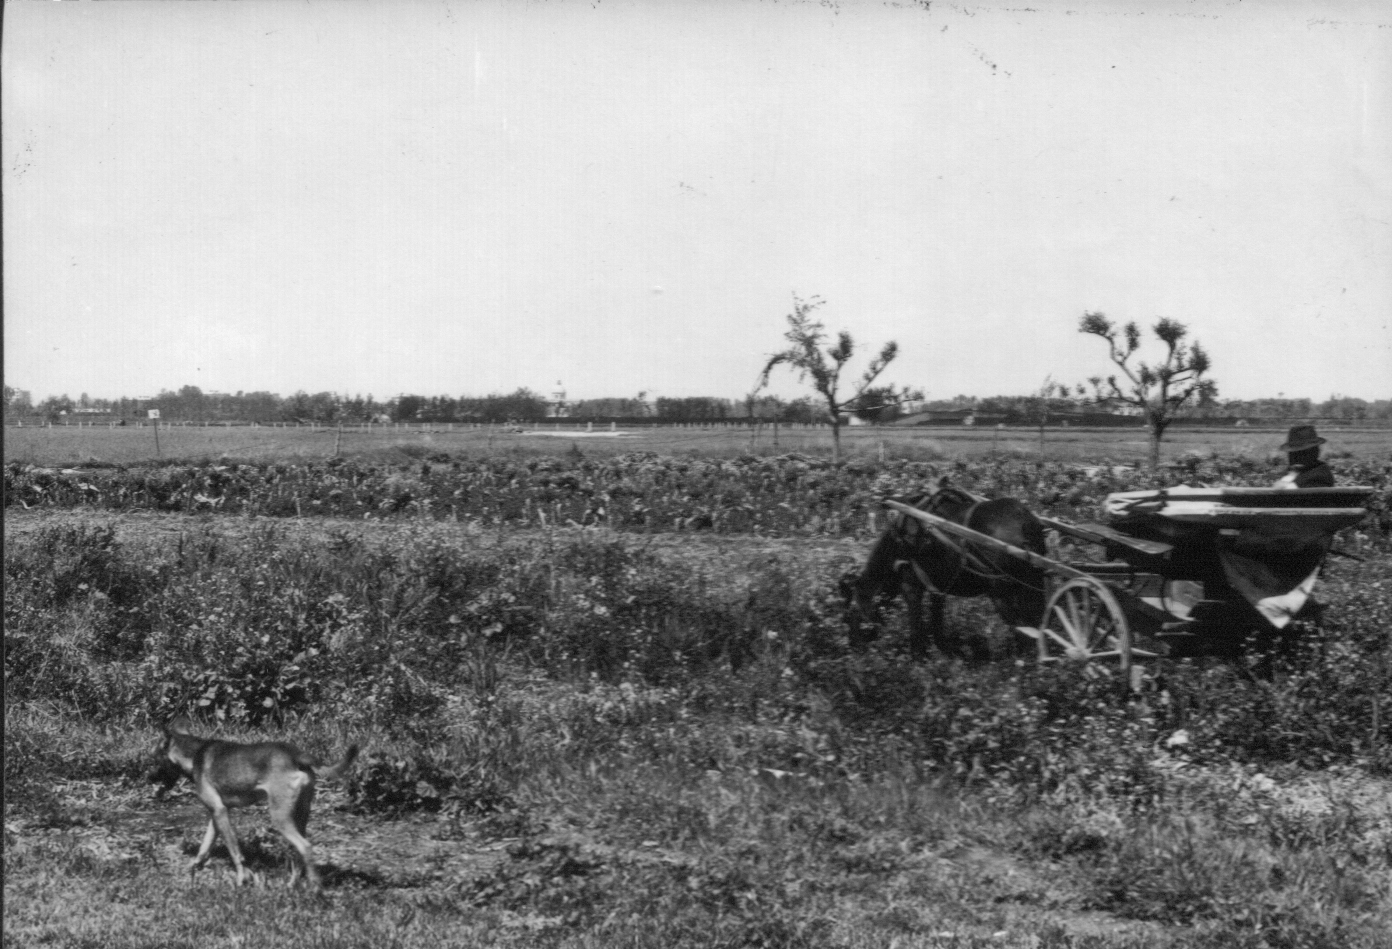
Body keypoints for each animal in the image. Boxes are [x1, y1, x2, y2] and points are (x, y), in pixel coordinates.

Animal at [151, 718, 359, 884]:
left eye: (154, 759)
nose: (148, 778)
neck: (195, 753)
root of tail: (296, 754)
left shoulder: (219, 811)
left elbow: (235, 851)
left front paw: (242, 878)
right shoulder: (218, 812)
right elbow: (205, 844)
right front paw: (195, 866)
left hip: (279, 816)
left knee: (306, 848)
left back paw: (315, 888)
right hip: (300, 815)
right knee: (300, 853)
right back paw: (293, 883)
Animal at [840, 484, 1046, 654]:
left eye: (850, 615)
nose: (852, 648)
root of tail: (1025, 523)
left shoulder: (910, 586)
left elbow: (917, 628)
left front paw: (918, 660)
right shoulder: (937, 589)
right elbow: (937, 624)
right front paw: (945, 654)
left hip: (1001, 594)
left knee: (1026, 634)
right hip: (1032, 587)